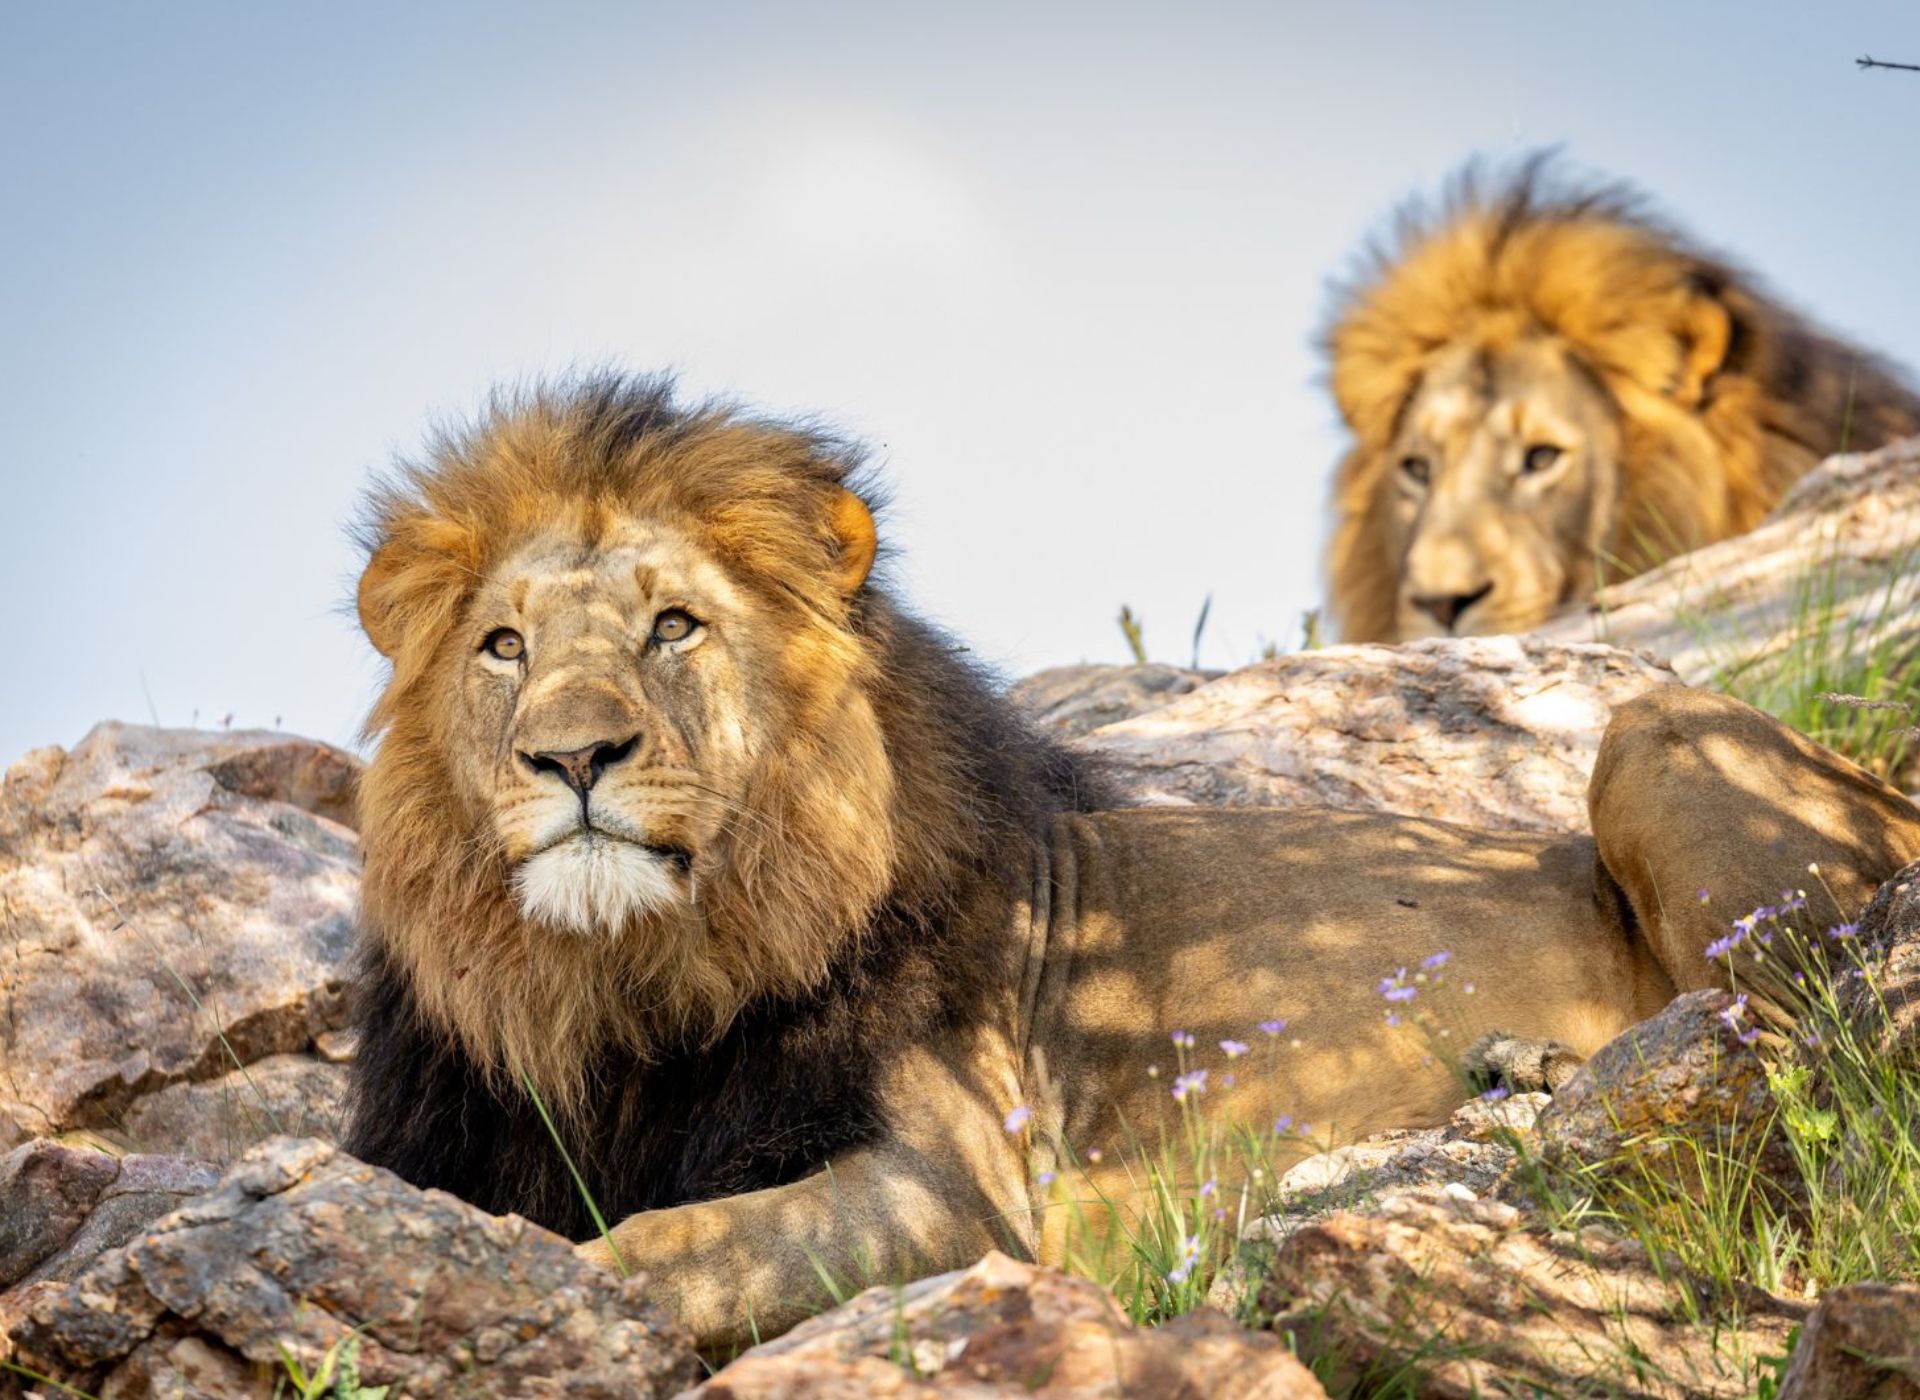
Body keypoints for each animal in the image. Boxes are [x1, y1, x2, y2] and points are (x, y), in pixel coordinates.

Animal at [346, 374, 1920, 1351]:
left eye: (673, 625)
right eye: (505, 647)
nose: (571, 756)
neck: (618, 995)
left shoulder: (957, 1194)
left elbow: (655, 1249)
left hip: (1658, 731)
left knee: (1820, 1035)